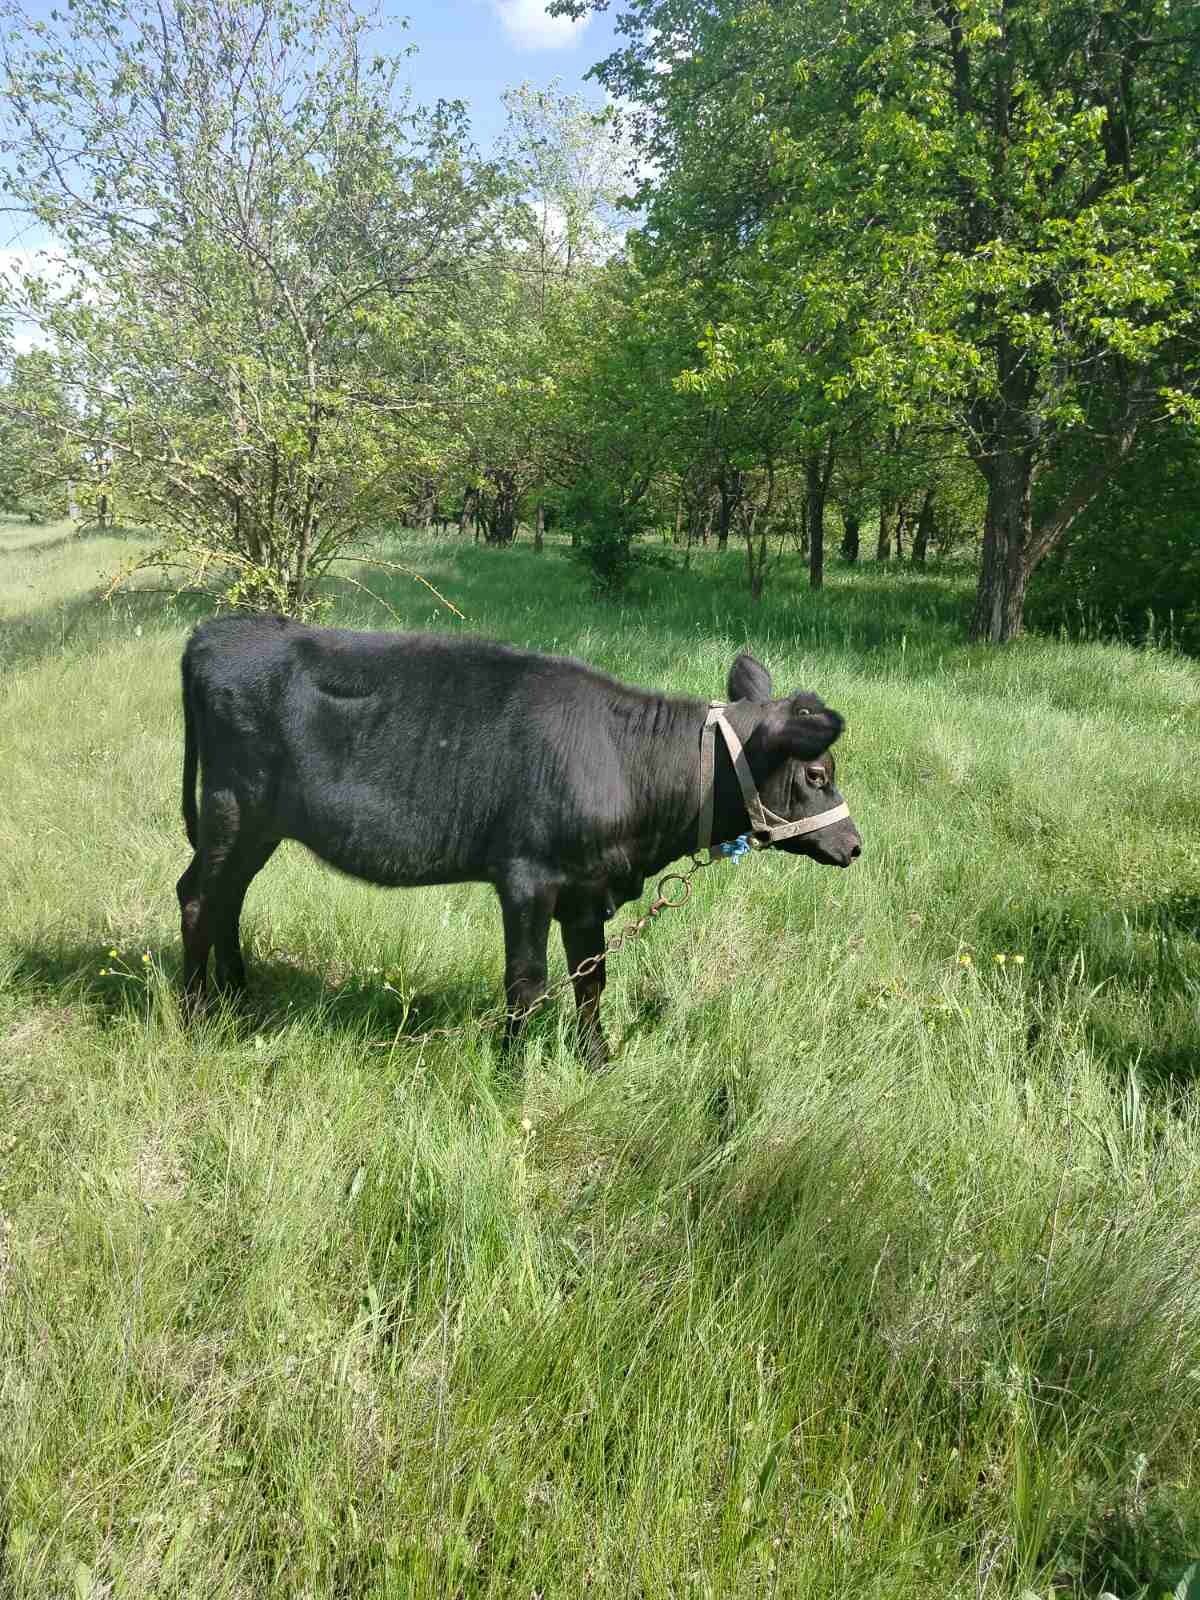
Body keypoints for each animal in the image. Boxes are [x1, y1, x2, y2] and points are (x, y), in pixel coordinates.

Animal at [176, 617, 864, 1068]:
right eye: (817, 774)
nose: (855, 845)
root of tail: (215, 631)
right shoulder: (528, 877)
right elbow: (526, 983)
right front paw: (509, 1069)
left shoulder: (587, 887)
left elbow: (590, 978)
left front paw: (597, 1061)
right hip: (234, 807)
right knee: (198, 898)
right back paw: (196, 1014)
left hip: (258, 824)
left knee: (225, 898)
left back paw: (238, 1002)